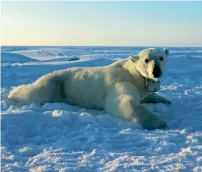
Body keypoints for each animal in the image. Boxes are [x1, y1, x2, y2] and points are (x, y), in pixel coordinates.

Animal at [8, 47, 171, 129]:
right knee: (37, 93)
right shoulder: (119, 81)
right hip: (56, 83)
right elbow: (124, 101)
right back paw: (13, 93)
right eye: (146, 60)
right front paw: (159, 122)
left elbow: (147, 95)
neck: (132, 73)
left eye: (161, 57)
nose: (156, 71)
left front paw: (165, 100)